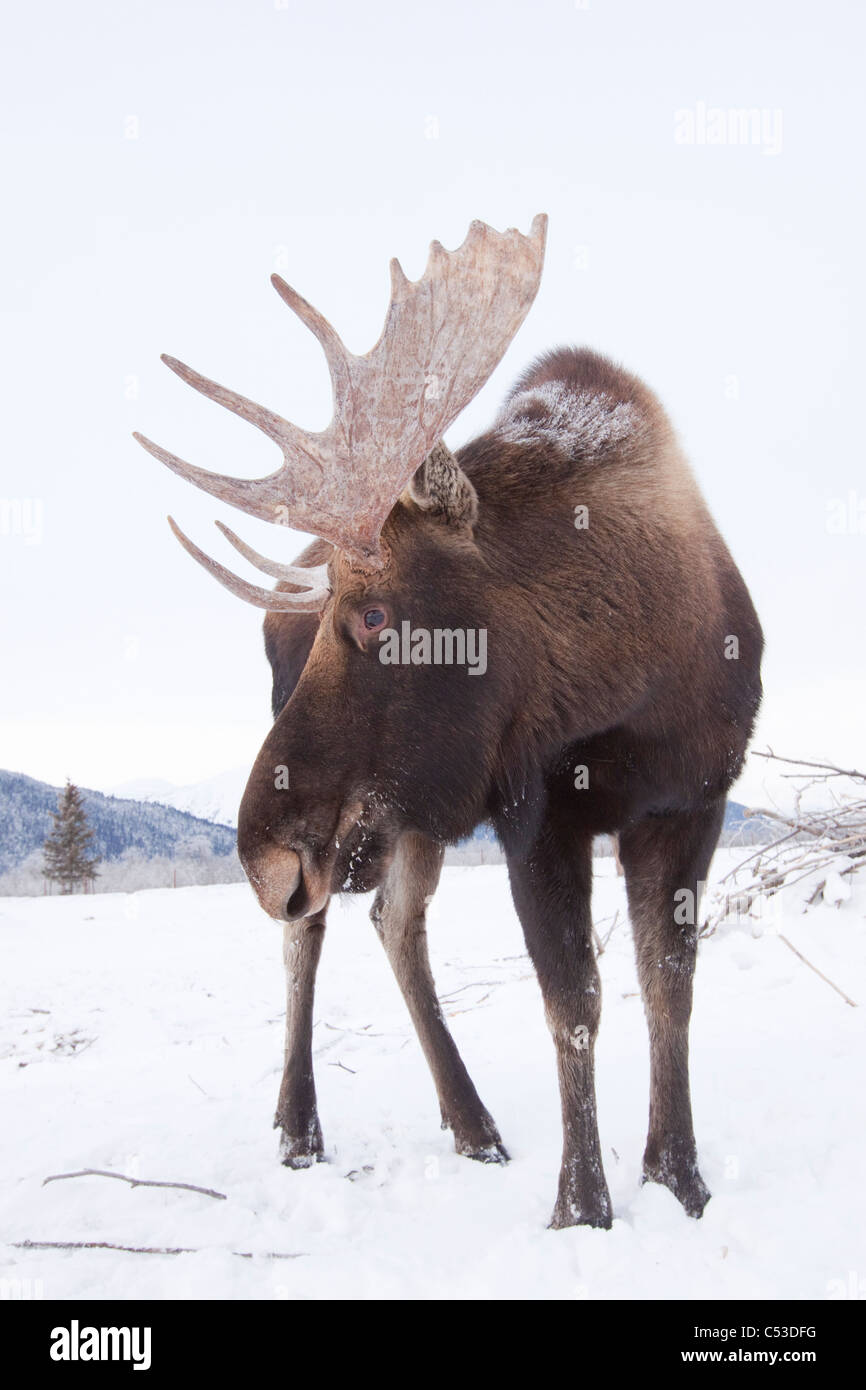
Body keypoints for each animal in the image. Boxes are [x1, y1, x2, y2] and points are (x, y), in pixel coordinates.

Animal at [132, 214, 761, 1228]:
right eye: (334, 616)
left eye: (374, 614)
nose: (261, 857)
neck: (638, 686)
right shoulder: (536, 816)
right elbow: (574, 1001)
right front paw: (583, 1207)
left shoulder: (691, 804)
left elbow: (670, 990)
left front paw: (681, 1178)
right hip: (367, 827)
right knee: (311, 932)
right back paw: (299, 1127)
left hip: (403, 814)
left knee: (394, 919)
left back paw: (473, 1123)